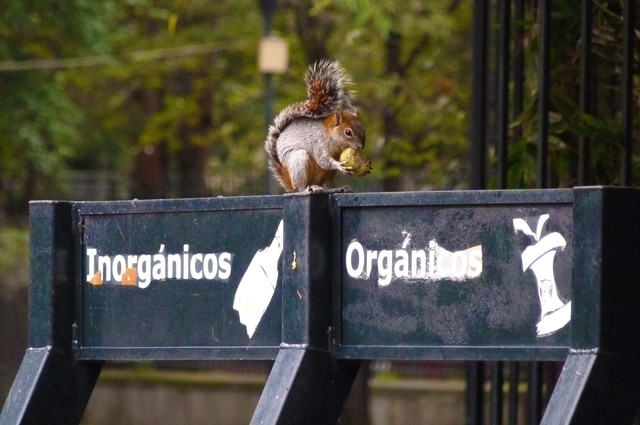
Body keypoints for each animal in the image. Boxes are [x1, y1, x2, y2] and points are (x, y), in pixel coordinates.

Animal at [265, 59, 366, 193]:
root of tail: (288, 180)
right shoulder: (318, 142)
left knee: (326, 186)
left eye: (362, 128)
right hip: (299, 160)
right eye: (348, 132)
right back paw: (309, 188)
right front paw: (338, 165)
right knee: (301, 187)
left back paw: (336, 188)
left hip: (329, 174)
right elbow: (323, 160)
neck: (334, 140)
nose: (361, 146)